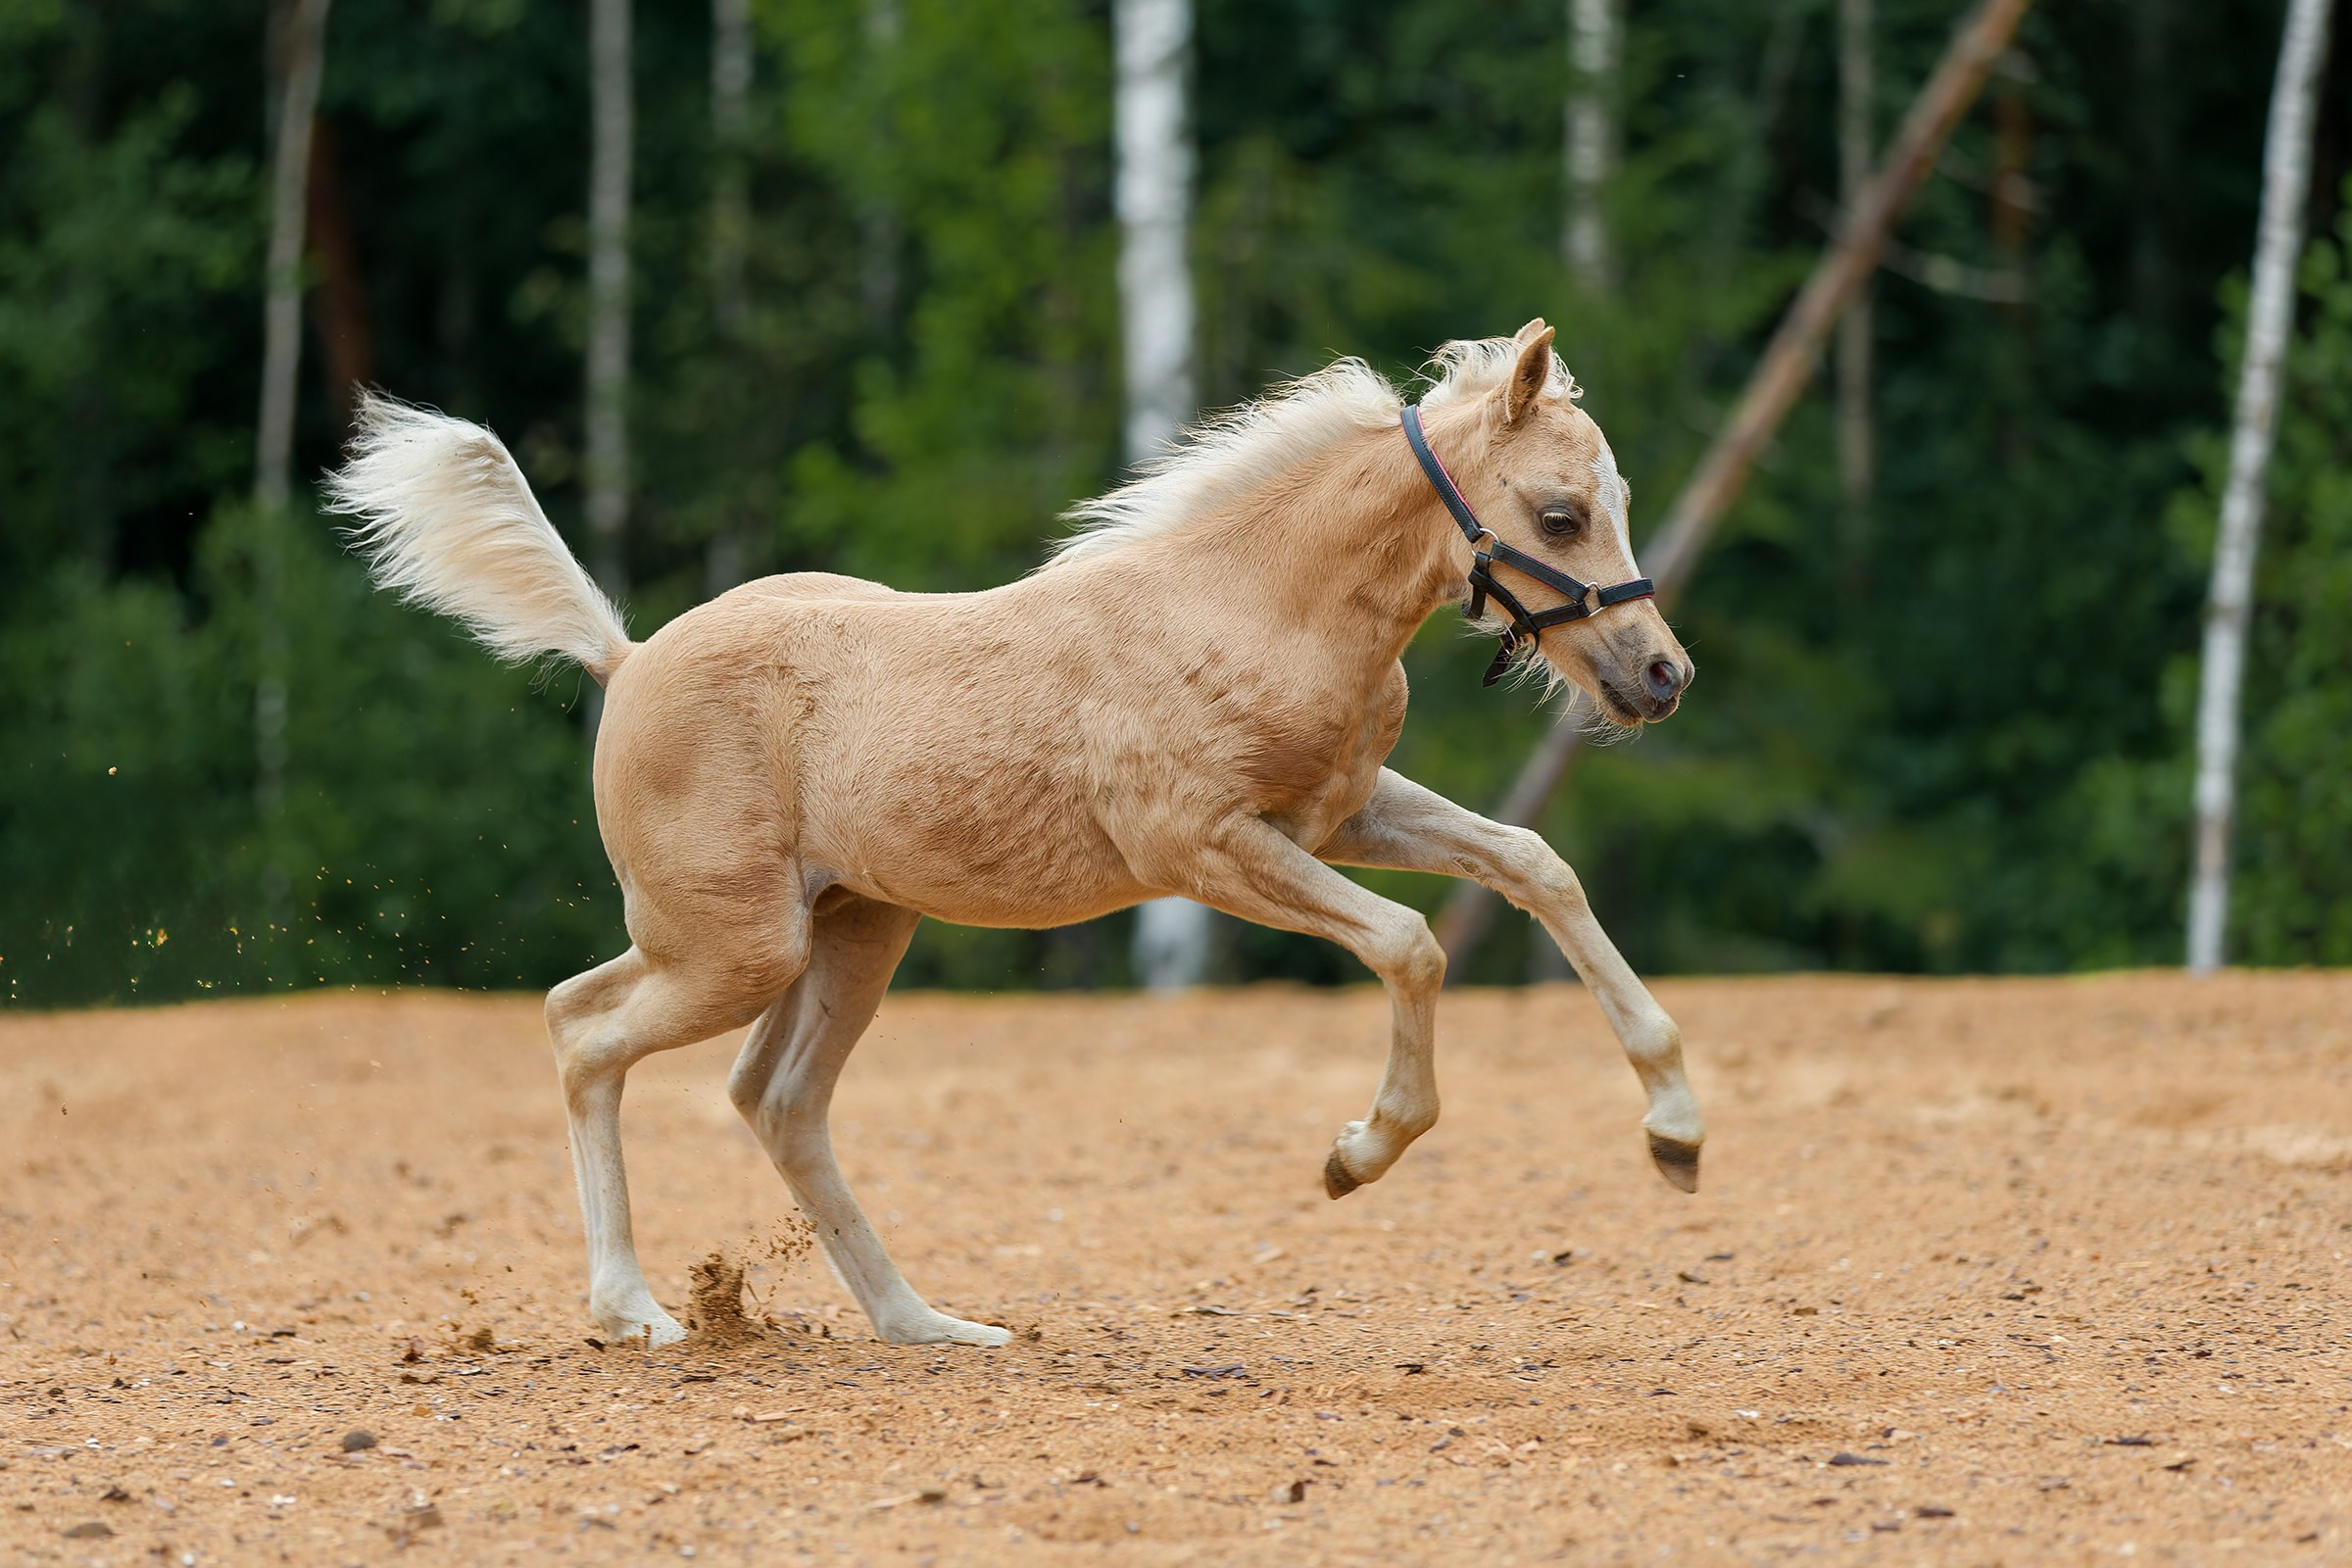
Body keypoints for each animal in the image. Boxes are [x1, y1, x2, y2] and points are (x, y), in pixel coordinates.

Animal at [327, 318, 1704, 1350]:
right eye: (1562, 513)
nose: (1661, 677)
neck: (1254, 604)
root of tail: (626, 656)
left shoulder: (1343, 811)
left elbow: (1532, 865)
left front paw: (1676, 1130)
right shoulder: (1206, 846)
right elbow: (1412, 942)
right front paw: (1357, 1155)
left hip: (840, 930)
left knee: (763, 1093)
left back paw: (924, 1324)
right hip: (736, 947)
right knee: (587, 1036)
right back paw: (634, 1310)